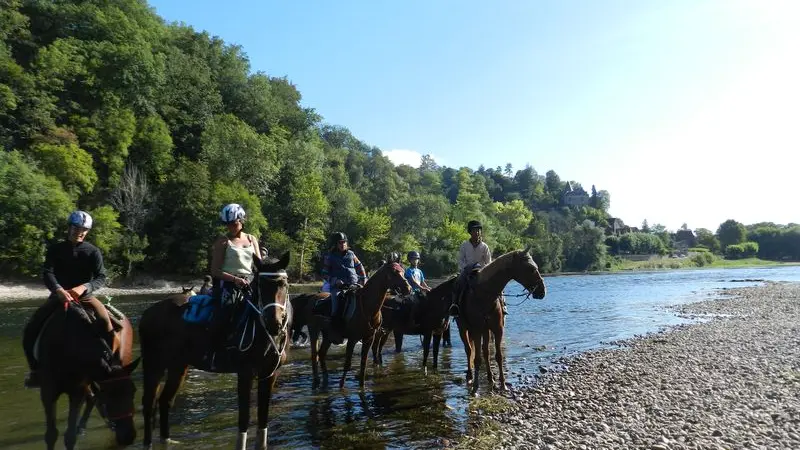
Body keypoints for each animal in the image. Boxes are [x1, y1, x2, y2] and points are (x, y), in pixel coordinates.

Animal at [35, 300, 141, 450]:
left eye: (134, 391)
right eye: (107, 395)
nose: (128, 436)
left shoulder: (77, 390)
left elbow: (69, 435)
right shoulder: (48, 392)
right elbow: (51, 434)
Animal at [139, 253, 292, 450]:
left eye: (284, 284)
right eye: (260, 285)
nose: (274, 323)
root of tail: (148, 313)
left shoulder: (270, 374)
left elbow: (263, 418)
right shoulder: (245, 373)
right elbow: (244, 418)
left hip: (178, 366)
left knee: (165, 401)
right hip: (154, 365)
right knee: (149, 404)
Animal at [454, 248, 548, 396]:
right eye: (531, 268)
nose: (542, 291)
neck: (484, 295)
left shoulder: (497, 329)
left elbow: (498, 356)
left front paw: (503, 384)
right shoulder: (476, 330)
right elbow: (477, 358)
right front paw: (475, 388)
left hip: (486, 331)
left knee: (486, 352)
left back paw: (490, 378)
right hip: (463, 328)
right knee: (469, 350)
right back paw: (469, 376)